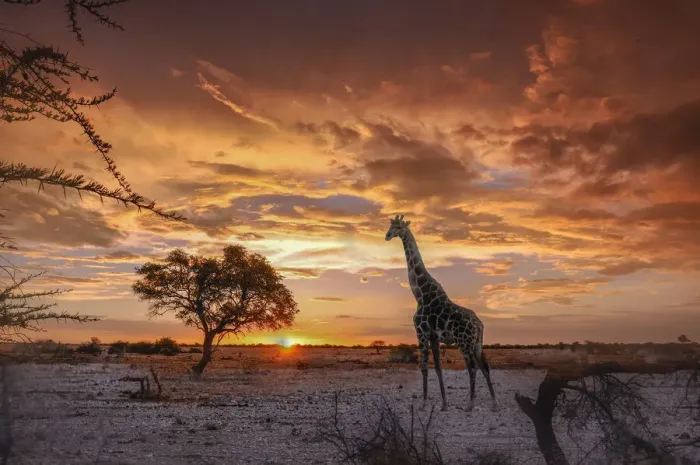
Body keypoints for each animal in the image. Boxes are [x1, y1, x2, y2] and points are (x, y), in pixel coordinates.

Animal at [385, 215, 498, 412]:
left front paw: (423, 403)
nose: (387, 235)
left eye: (398, 227)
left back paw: (470, 404)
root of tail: (479, 324)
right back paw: (494, 403)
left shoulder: (421, 333)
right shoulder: (434, 337)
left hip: (464, 343)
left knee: (473, 368)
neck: (419, 294)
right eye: (390, 225)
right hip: (477, 344)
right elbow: (437, 367)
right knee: (485, 367)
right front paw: (444, 404)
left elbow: (423, 367)